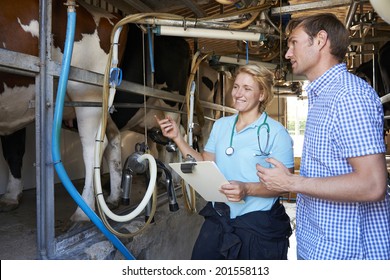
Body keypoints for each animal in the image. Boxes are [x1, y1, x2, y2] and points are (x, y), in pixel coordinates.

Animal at [0, 1, 190, 222]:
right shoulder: (12, 113)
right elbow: (13, 151)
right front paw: (11, 196)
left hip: (105, 95)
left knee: (98, 147)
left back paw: (85, 211)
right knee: (124, 143)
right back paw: (116, 197)